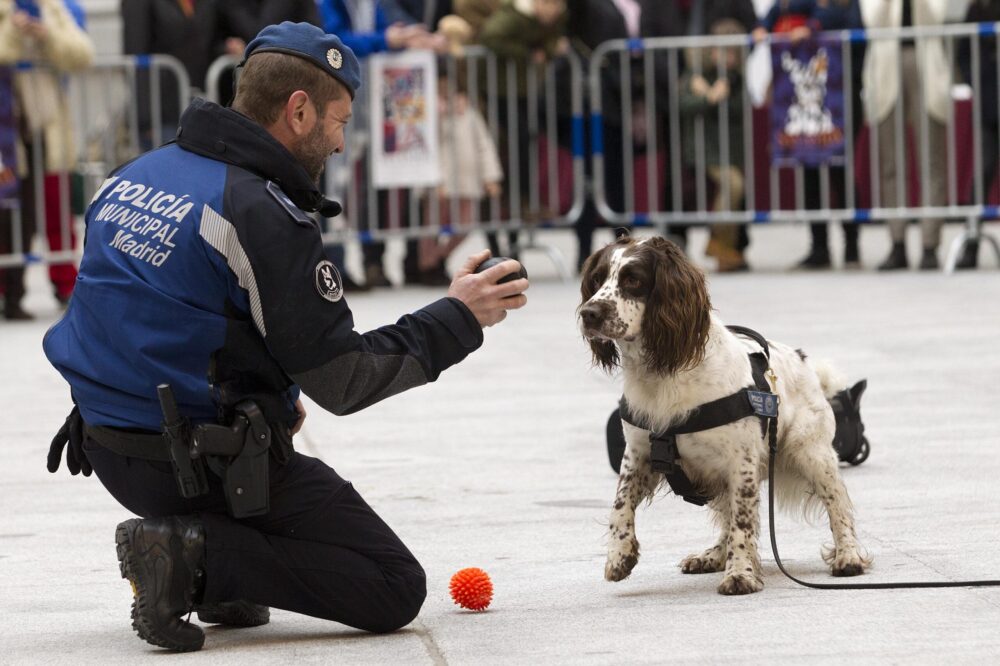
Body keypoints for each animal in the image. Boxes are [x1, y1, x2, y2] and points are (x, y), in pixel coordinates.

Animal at [580, 236, 868, 592]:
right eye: (596, 280)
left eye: (632, 279)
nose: (588, 313)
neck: (664, 369)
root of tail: (805, 361)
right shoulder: (639, 453)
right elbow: (620, 504)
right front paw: (619, 556)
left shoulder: (740, 461)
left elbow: (743, 522)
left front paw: (741, 574)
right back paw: (713, 556)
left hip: (811, 453)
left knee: (837, 504)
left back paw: (848, 555)